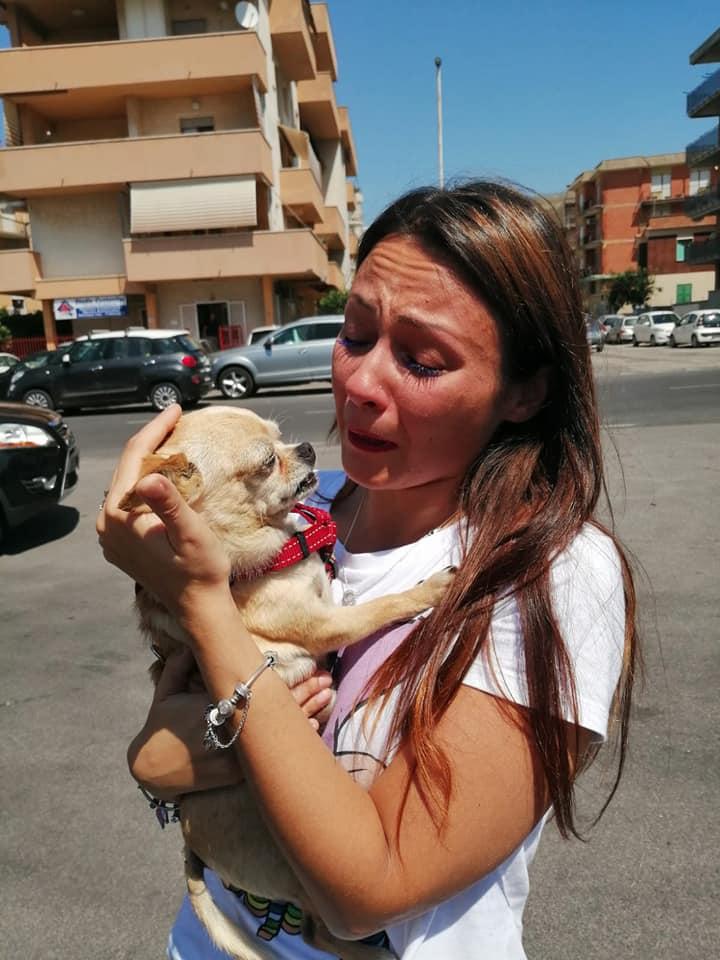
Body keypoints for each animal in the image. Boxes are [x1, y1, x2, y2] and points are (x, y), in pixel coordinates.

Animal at [121, 406, 452, 960]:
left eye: (281, 437)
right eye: (264, 462)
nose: (307, 450)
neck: (268, 549)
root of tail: (190, 842)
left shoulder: (327, 594)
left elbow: (340, 585)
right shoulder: (324, 625)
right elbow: (378, 606)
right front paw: (429, 590)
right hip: (296, 870)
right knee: (319, 930)